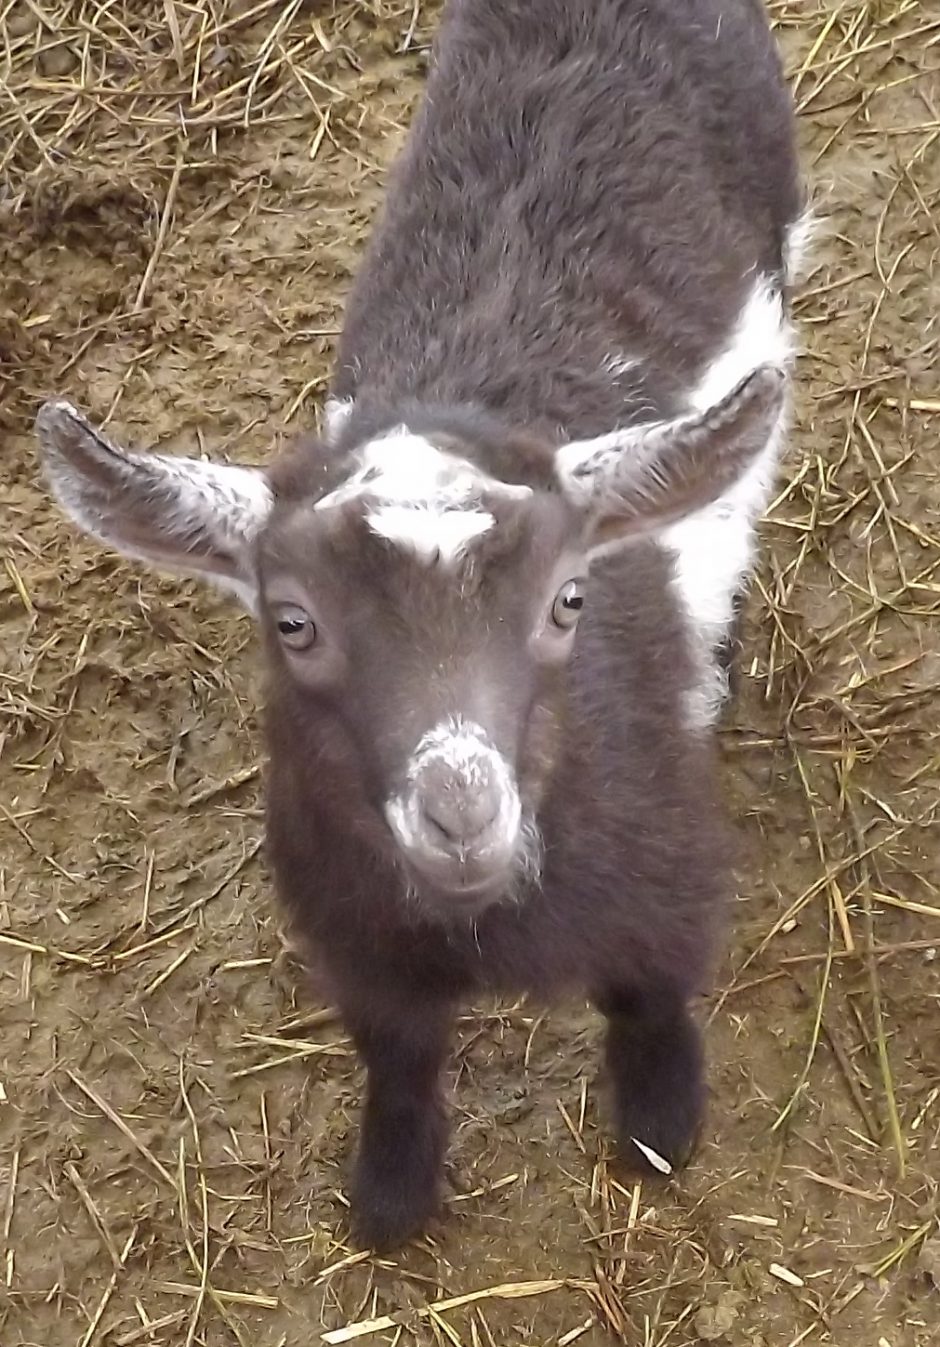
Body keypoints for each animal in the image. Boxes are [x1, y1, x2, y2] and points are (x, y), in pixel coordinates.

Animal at [36, 0, 804, 1252]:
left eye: (569, 601)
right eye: (292, 622)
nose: (461, 813)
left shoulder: (670, 882)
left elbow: (649, 994)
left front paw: (659, 1120)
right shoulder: (354, 943)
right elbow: (396, 1056)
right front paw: (390, 1193)